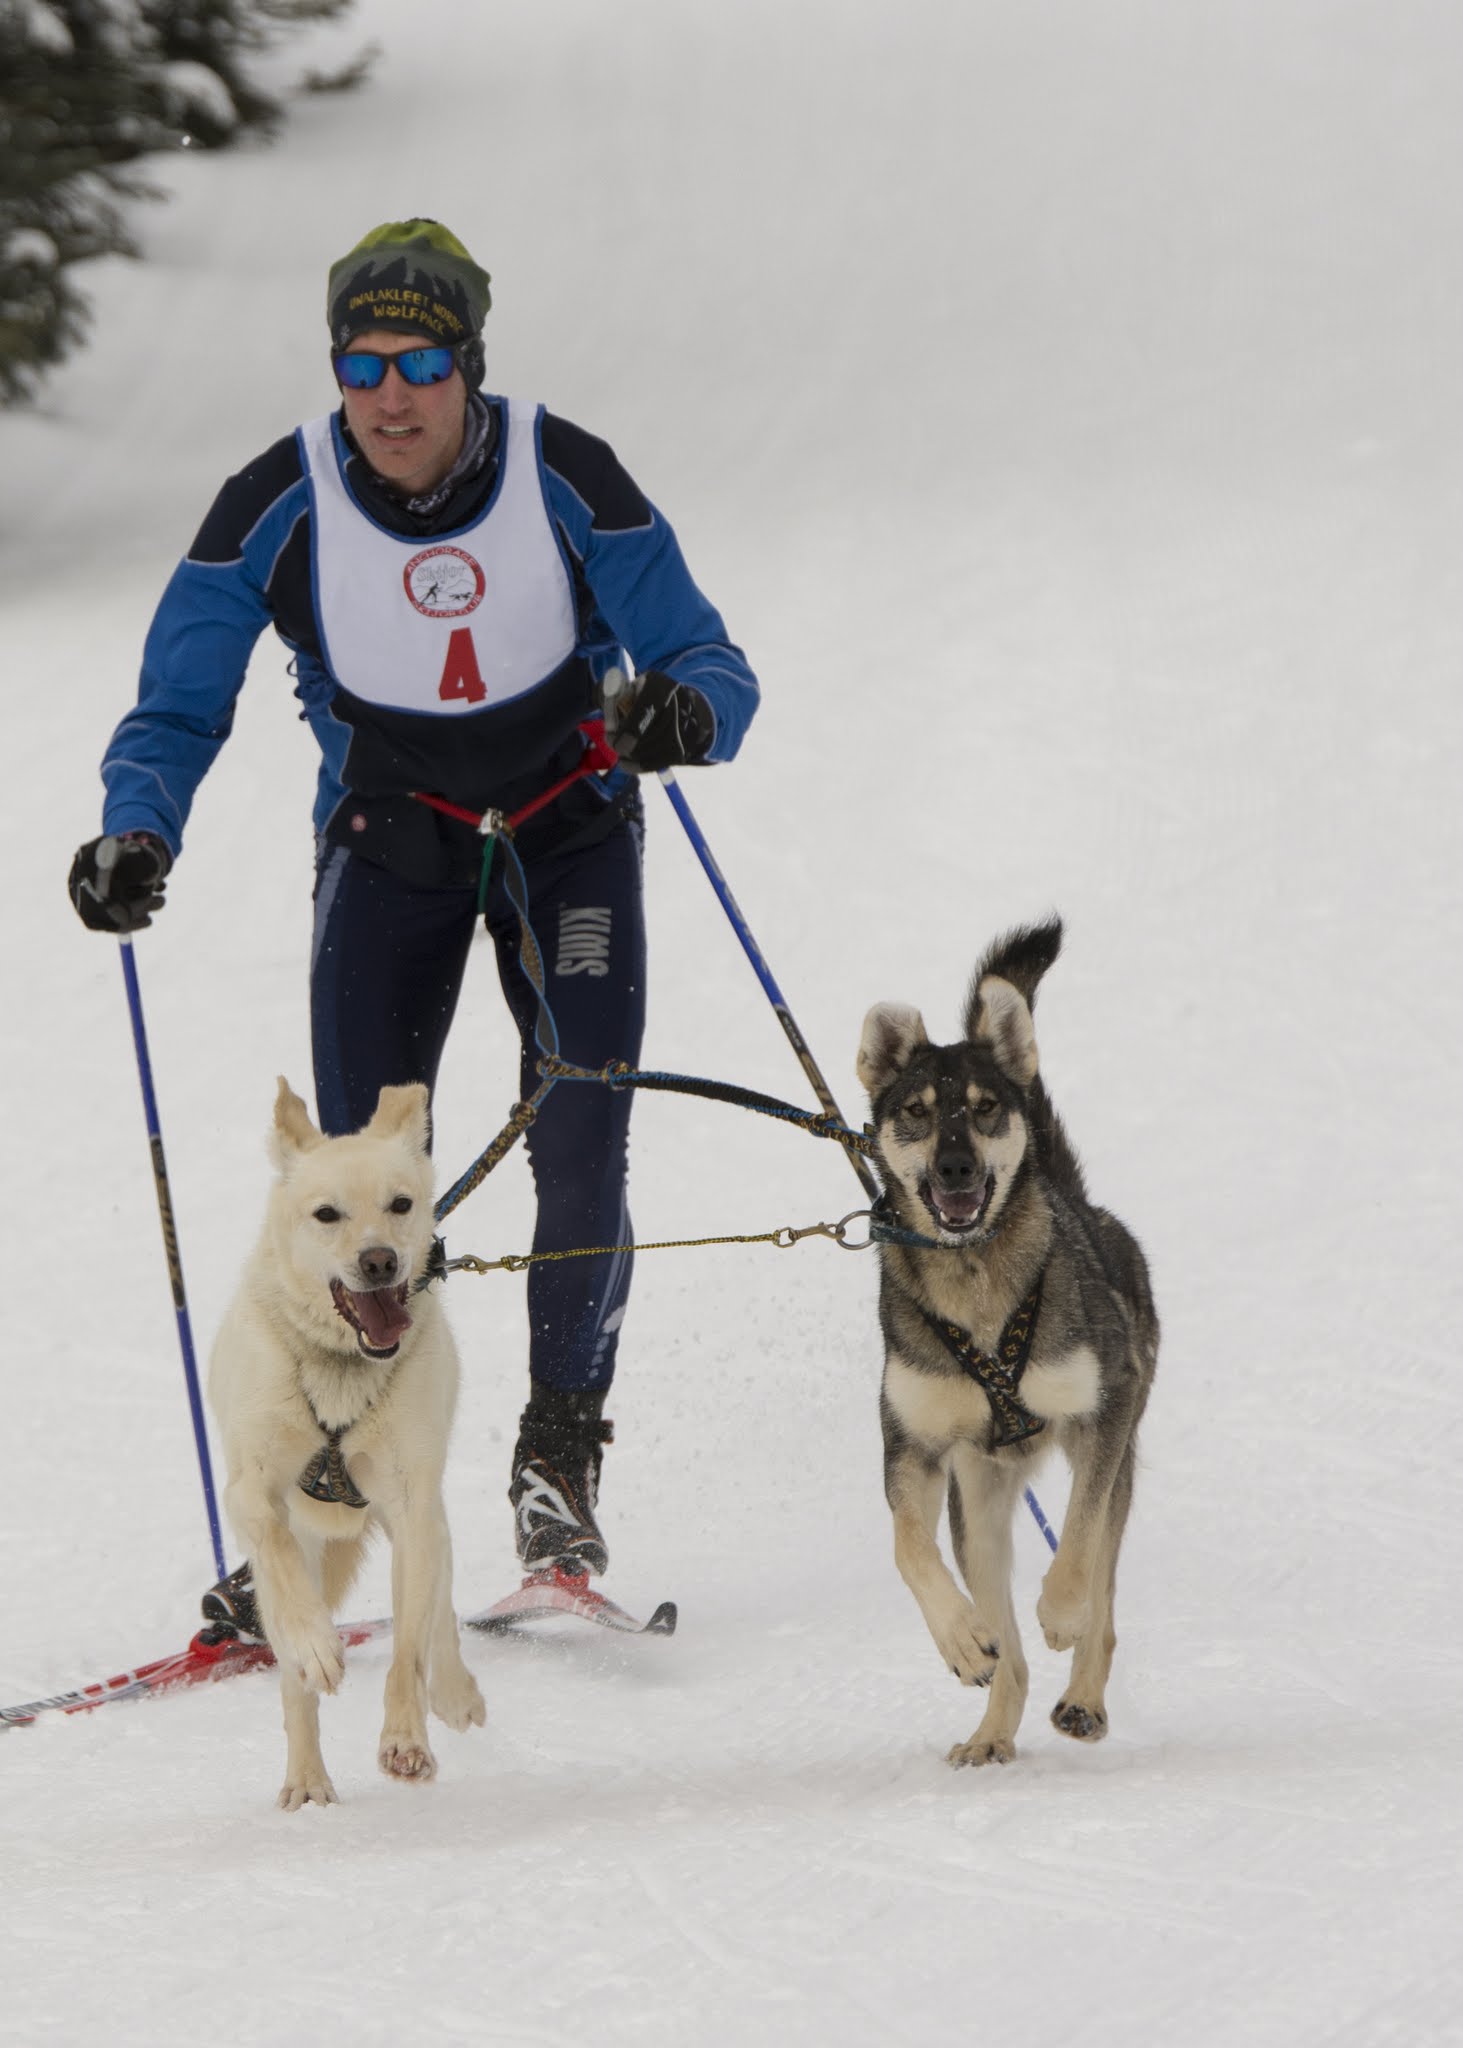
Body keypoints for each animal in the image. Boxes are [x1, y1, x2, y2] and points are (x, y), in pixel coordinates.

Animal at [209, 1081, 483, 1802]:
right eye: (326, 1214)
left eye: (401, 1204)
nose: (378, 1259)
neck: (340, 1370)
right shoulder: (249, 1489)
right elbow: (275, 1547)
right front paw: (315, 1646)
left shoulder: (412, 1504)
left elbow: (410, 1645)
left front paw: (406, 1741)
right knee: (291, 1678)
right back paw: (307, 1779)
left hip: (423, 1516)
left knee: (439, 1607)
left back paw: (454, 1692)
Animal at [856, 921, 1147, 1769]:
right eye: (916, 1112)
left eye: (985, 1109)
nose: (955, 1167)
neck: (975, 1282)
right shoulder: (912, 1448)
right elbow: (906, 1547)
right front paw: (959, 1641)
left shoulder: (1103, 1411)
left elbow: (1077, 1543)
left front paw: (1059, 1611)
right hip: (977, 1503)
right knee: (1007, 1649)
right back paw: (991, 1728)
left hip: (1115, 1458)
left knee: (1103, 1589)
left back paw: (1081, 1696)